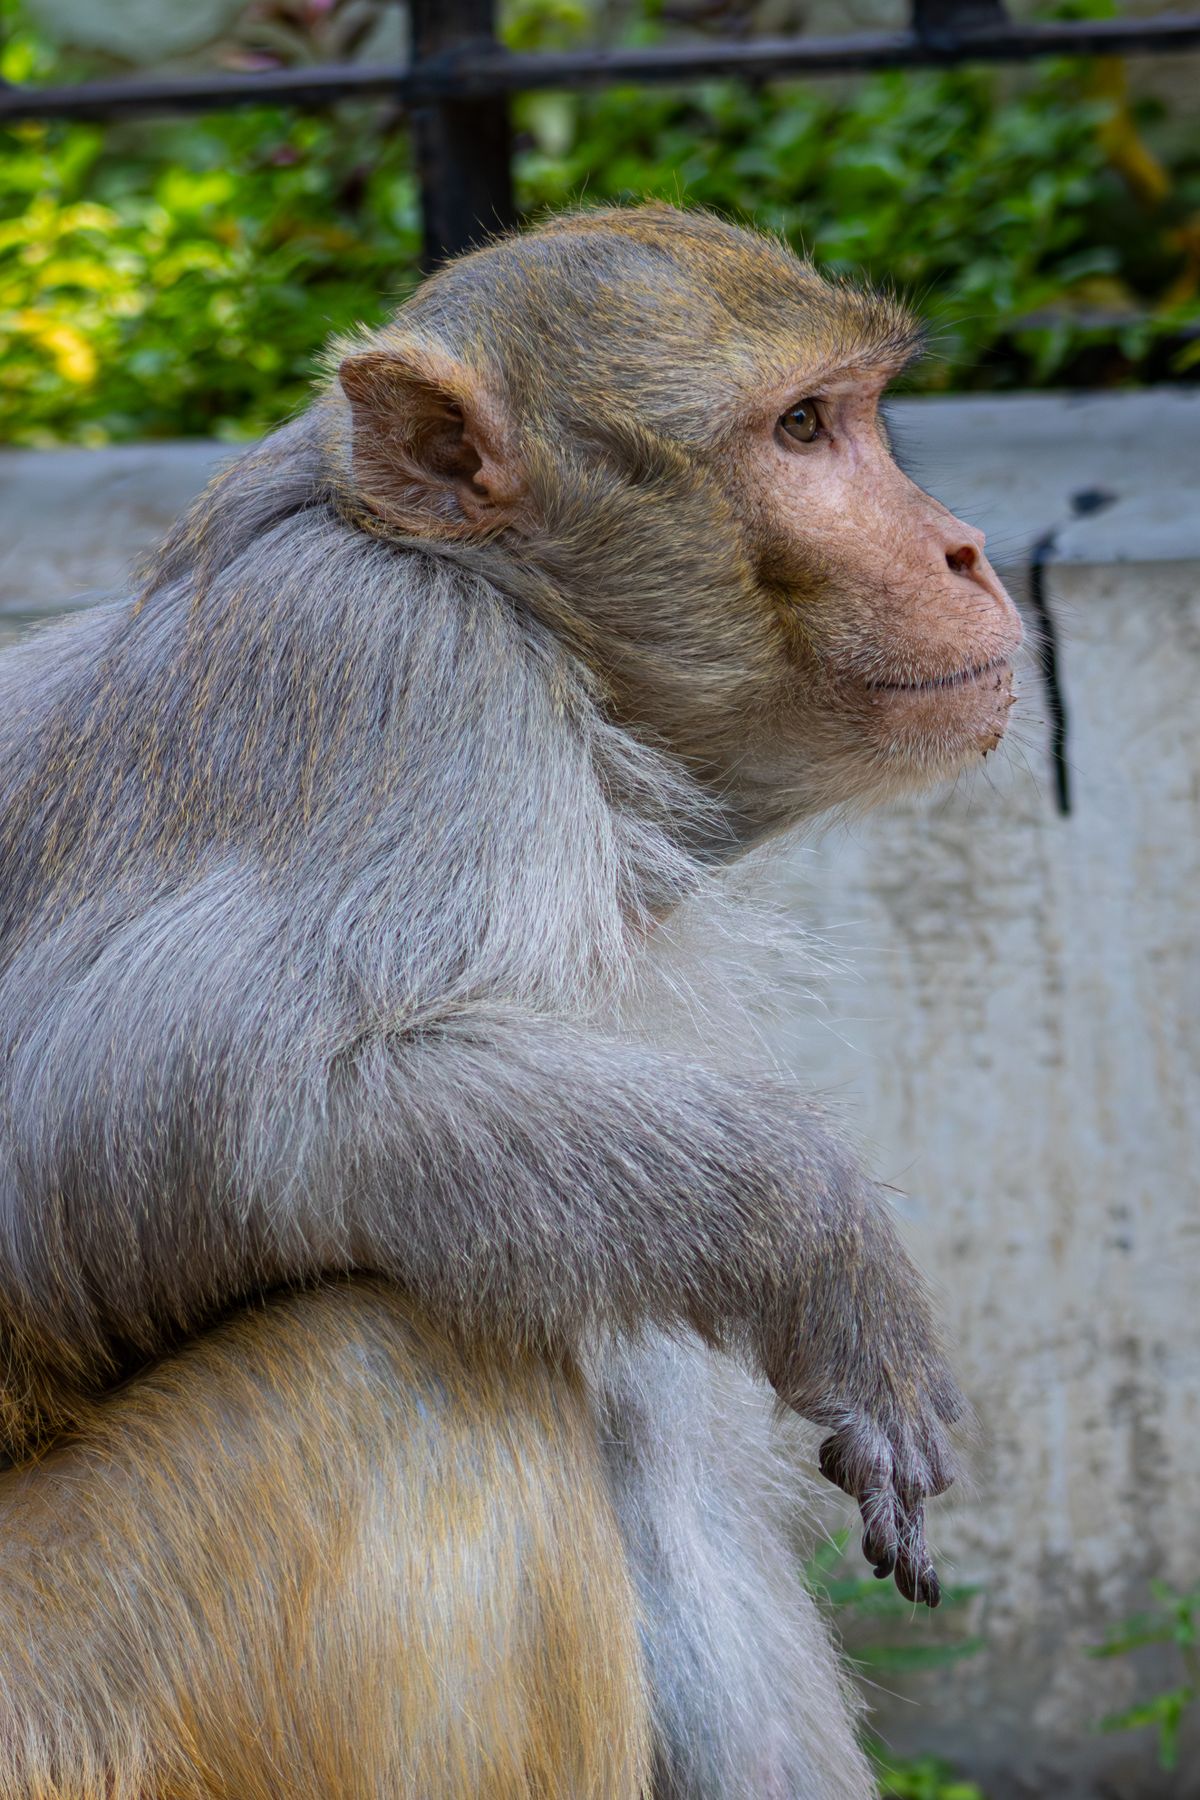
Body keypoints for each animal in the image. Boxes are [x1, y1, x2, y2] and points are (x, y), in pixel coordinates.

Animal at [0, 204, 1022, 1798]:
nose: (966, 549)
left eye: (855, 412)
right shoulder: (394, 678)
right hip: (81, 1702)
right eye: (801, 428)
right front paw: (823, 1245)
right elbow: (181, 1115)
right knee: (392, 1359)